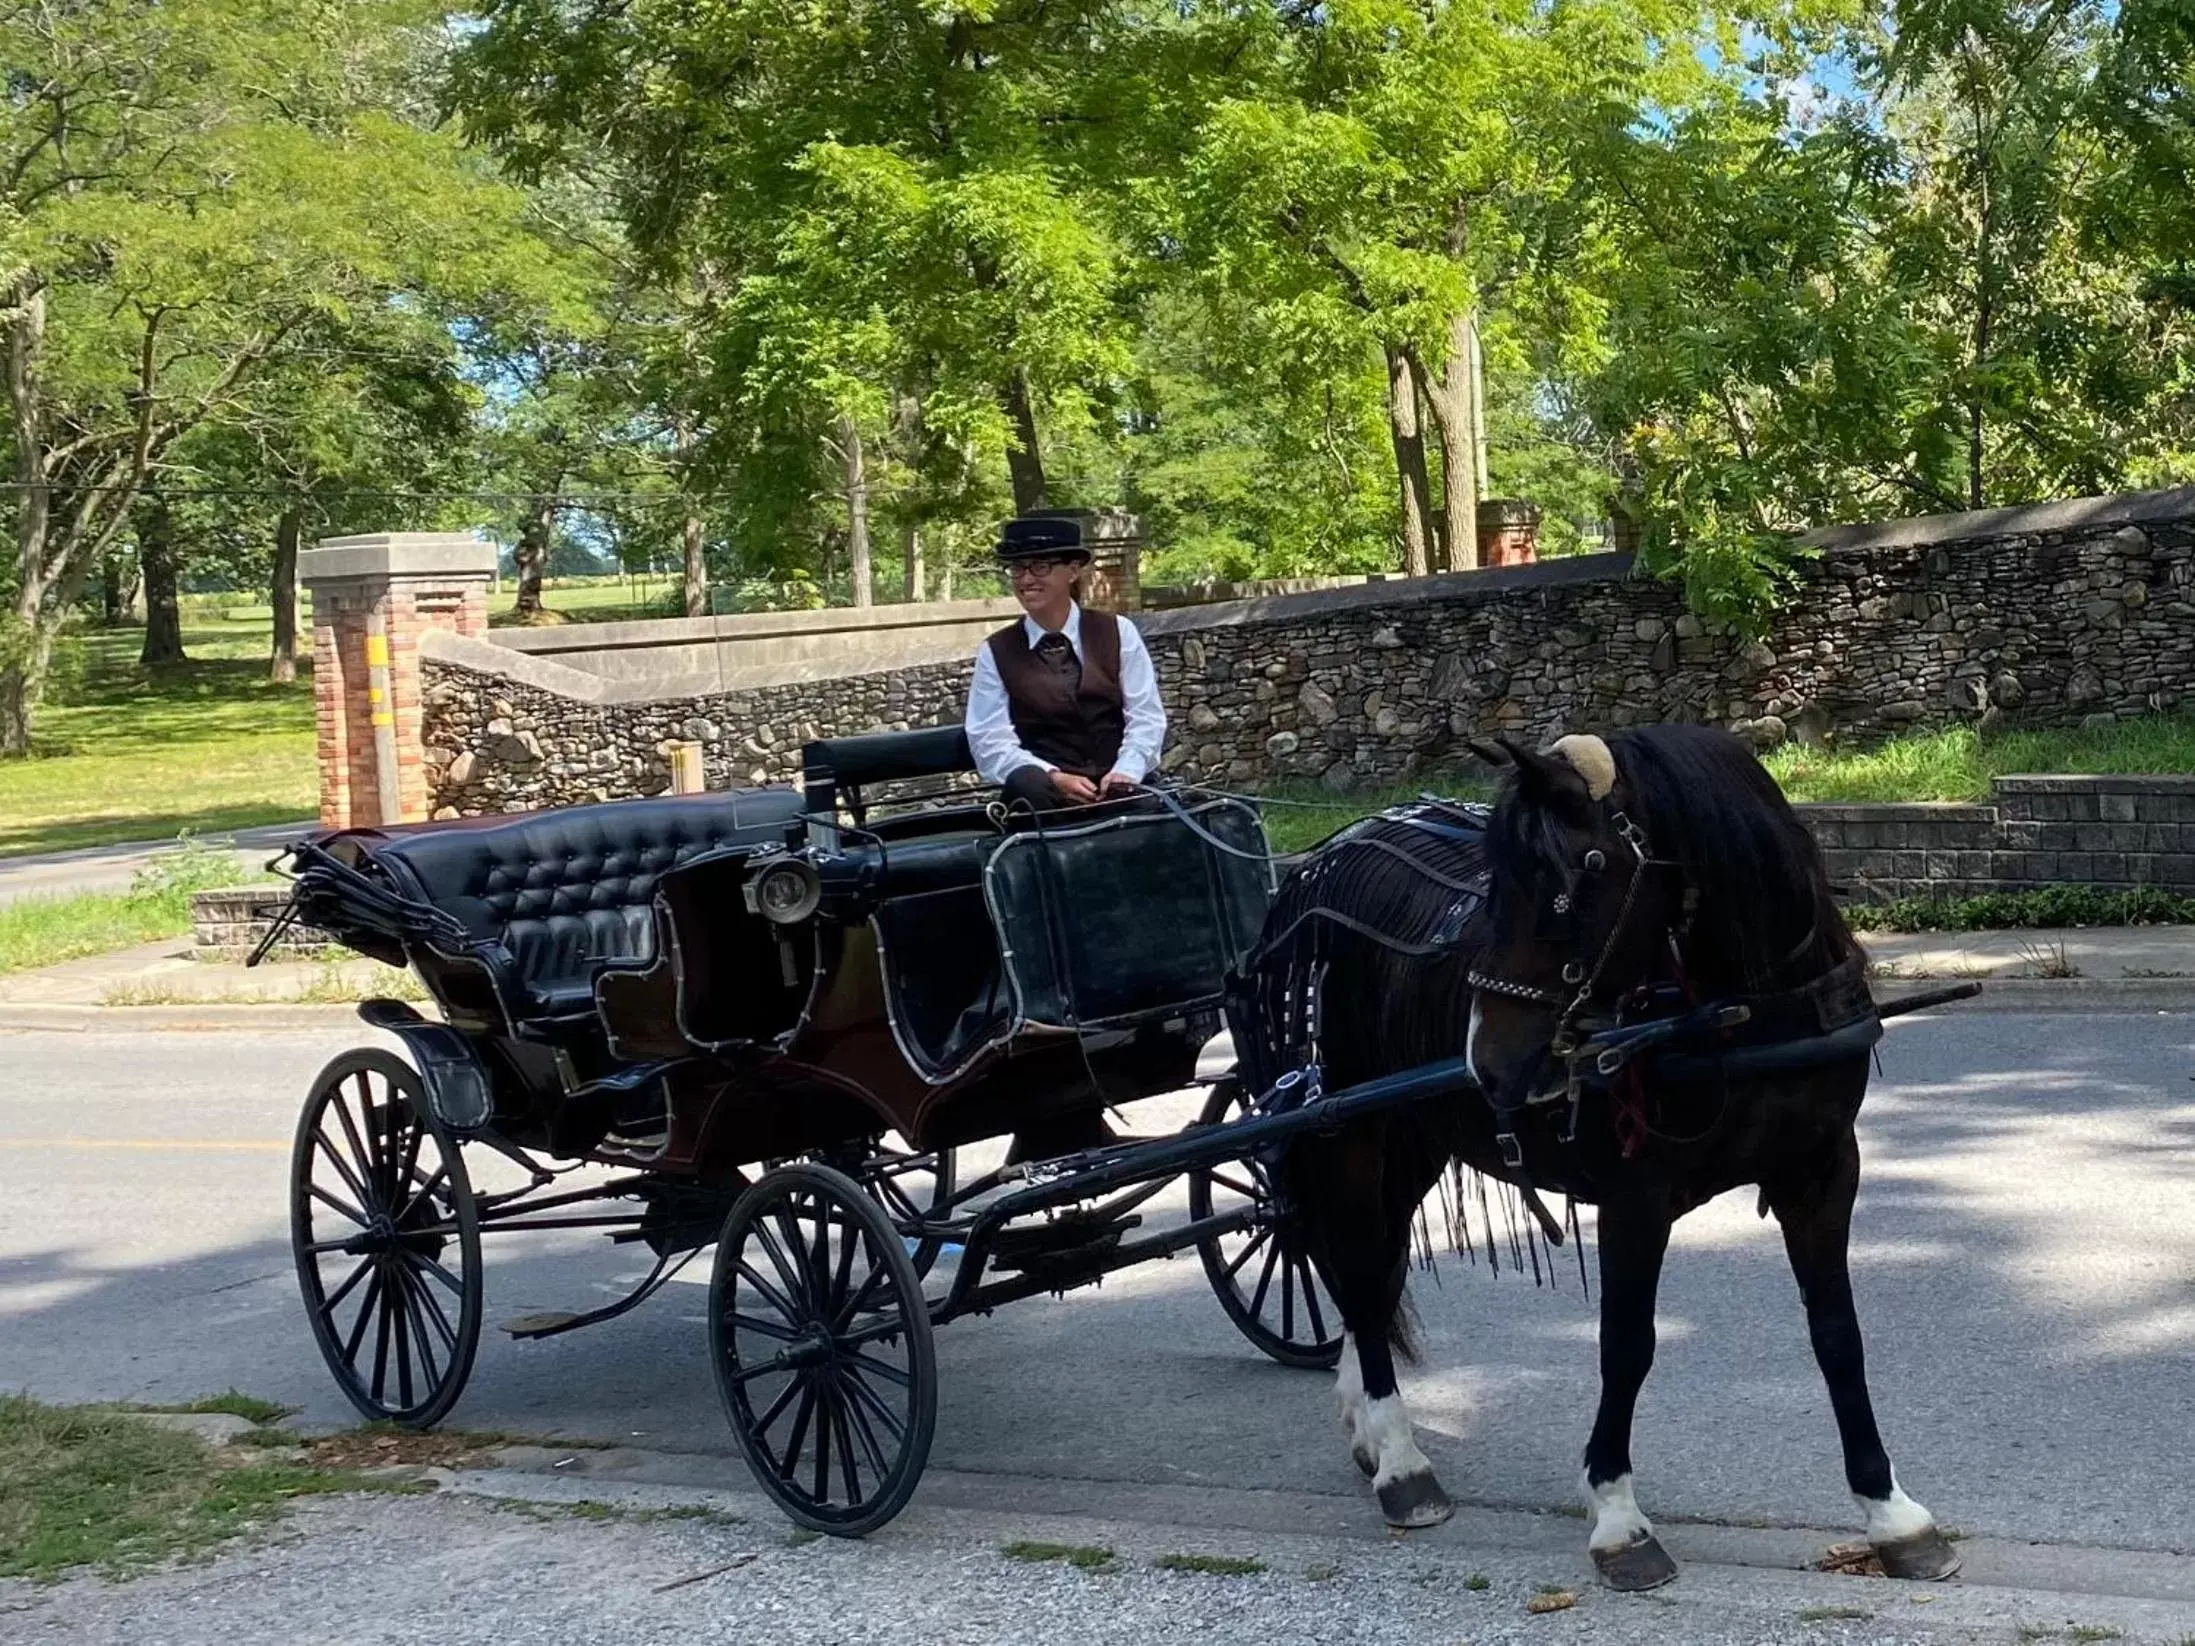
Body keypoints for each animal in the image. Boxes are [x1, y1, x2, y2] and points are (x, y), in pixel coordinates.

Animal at [1237, 728, 1957, 1588]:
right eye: (1498, 882)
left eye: (1579, 874)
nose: (1488, 1061)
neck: (1743, 1010)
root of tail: (1312, 867)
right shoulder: (1634, 1201)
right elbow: (1627, 1348)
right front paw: (1617, 1516)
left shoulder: (1819, 1173)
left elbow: (1837, 1336)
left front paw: (1890, 1511)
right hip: (1344, 1132)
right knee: (1354, 1266)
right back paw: (1402, 1461)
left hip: (1411, 1138)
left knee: (1368, 1278)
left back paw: (1370, 1429)